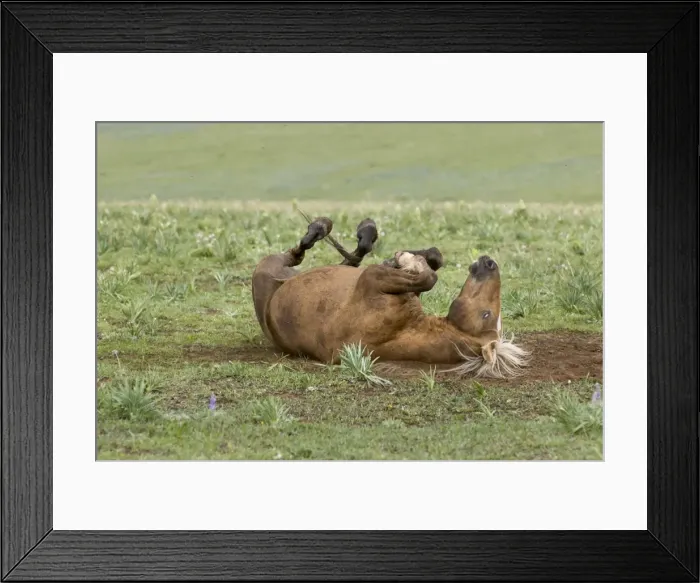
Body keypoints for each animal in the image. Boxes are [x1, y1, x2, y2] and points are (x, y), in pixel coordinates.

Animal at [251, 215, 530, 379]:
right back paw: (358, 230)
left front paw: (406, 259)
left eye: (486, 314)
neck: (405, 328)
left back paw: (321, 228)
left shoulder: (372, 280)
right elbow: (433, 261)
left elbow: (428, 277)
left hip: (270, 267)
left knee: (297, 252)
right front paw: (407, 258)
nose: (490, 263)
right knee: (348, 257)